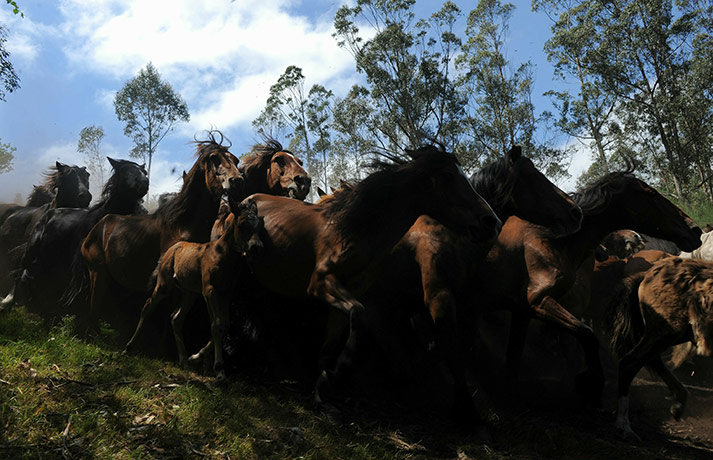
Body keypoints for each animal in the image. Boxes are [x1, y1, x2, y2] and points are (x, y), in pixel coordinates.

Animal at [74, 131, 243, 341]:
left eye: (235, 160)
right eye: (213, 158)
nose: (237, 181)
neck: (183, 224)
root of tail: (95, 229)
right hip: (98, 273)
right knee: (94, 304)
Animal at [125, 198, 264, 382]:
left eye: (259, 226)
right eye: (242, 225)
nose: (257, 247)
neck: (223, 256)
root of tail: (172, 248)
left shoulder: (225, 293)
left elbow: (225, 325)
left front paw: (196, 358)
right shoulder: (209, 291)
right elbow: (216, 324)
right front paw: (219, 370)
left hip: (189, 293)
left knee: (176, 318)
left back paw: (184, 361)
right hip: (164, 285)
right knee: (148, 307)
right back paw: (129, 346)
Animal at [471, 169, 701, 407]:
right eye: (652, 194)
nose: (695, 230)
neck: (553, 243)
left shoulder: (523, 312)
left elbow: (514, 360)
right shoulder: (539, 303)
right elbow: (588, 336)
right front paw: (590, 383)